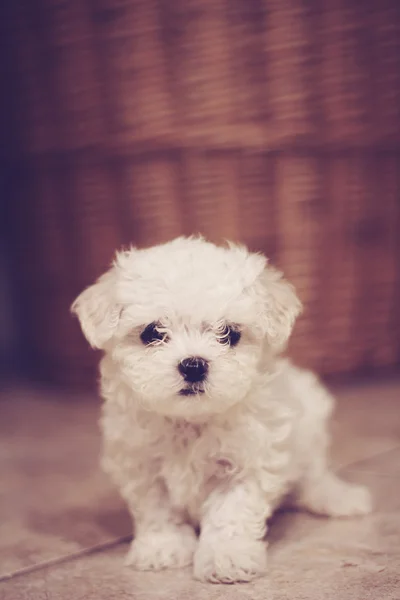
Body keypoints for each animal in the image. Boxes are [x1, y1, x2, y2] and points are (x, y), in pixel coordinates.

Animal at [71, 237, 372, 584]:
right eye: (152, 333)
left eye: (229, 334)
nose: (193, 365)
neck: (189, 421)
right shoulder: (141, 464)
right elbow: (157, 510)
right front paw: (163, 548)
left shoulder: (248, 462)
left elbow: (231, 514)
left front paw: (226, 559)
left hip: (311, 417)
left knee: (314, 474)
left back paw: (338, 498)